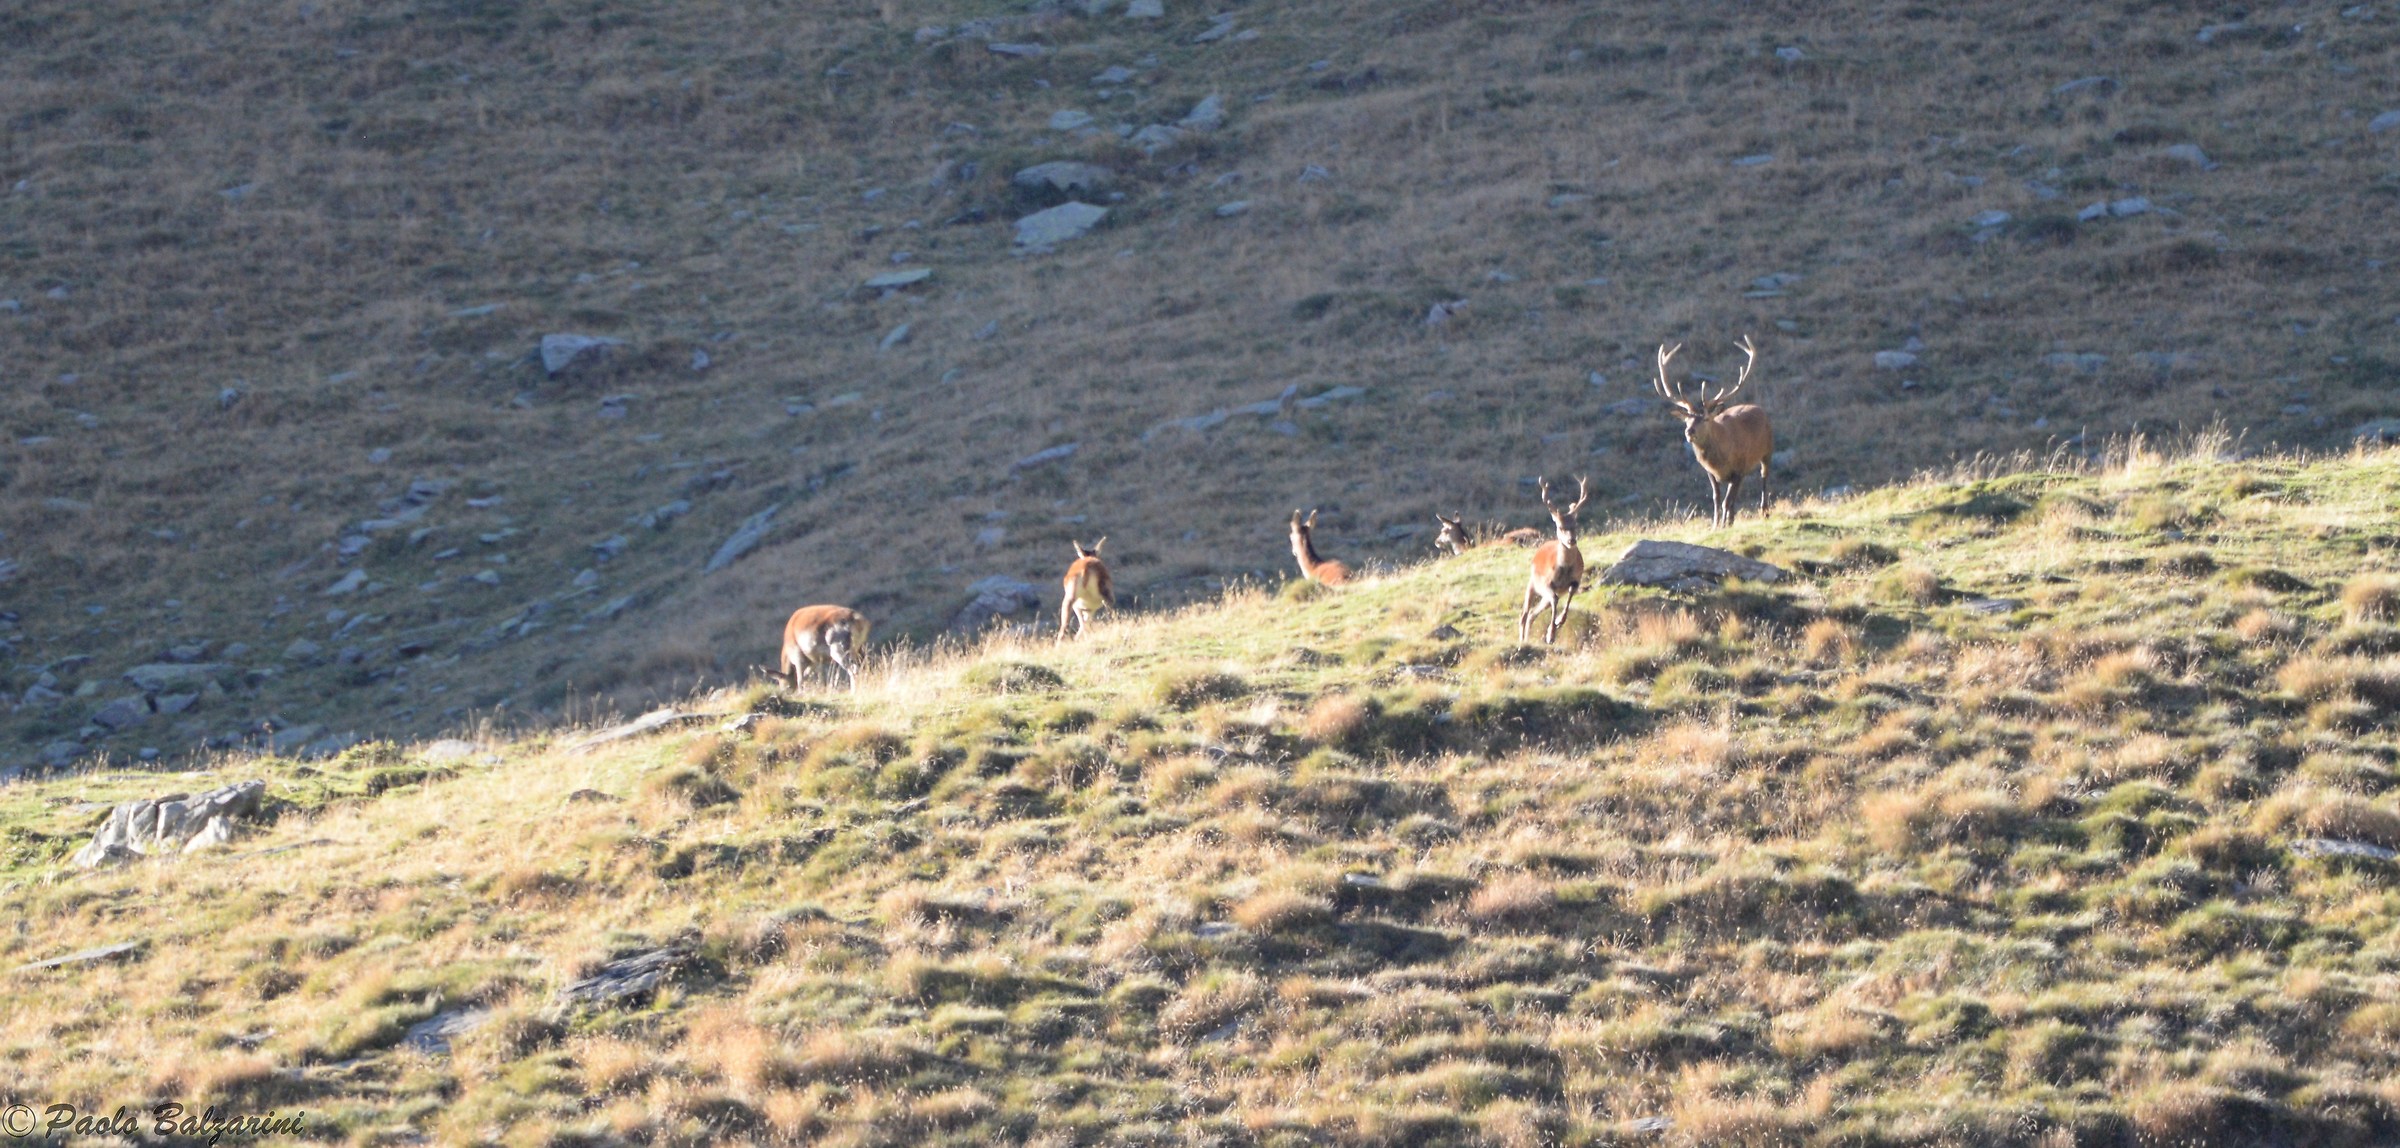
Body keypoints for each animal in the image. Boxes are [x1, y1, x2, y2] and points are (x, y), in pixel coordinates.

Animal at [1518, 476, 1593, 645]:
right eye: (1560, 526)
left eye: (1575, 524)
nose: (1571, 540)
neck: (1564, 570)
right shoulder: (1547, 583)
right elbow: (1555, 599)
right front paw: (1550, 634)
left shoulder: (1576, 580)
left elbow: (1570, 594)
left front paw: (1559, 622)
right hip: (1532, 584)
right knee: (1524, 614)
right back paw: (1522, 640)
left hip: (1542, 595)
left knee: (1532, 614)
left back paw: (1527, 638)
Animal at [1654, 336, 1775, 528]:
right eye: (1686, 419)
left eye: (1705, 419)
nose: (1689, 431)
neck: (1720, 460)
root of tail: (1758, 408)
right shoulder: (1710, 473)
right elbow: (1717, 499)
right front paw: (1716, 525)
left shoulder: (1738, 469)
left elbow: (1726, 501)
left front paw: (1724, 524)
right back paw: (1732, 519)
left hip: (1768, 449)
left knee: (1764, 476)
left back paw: (1764, 511)